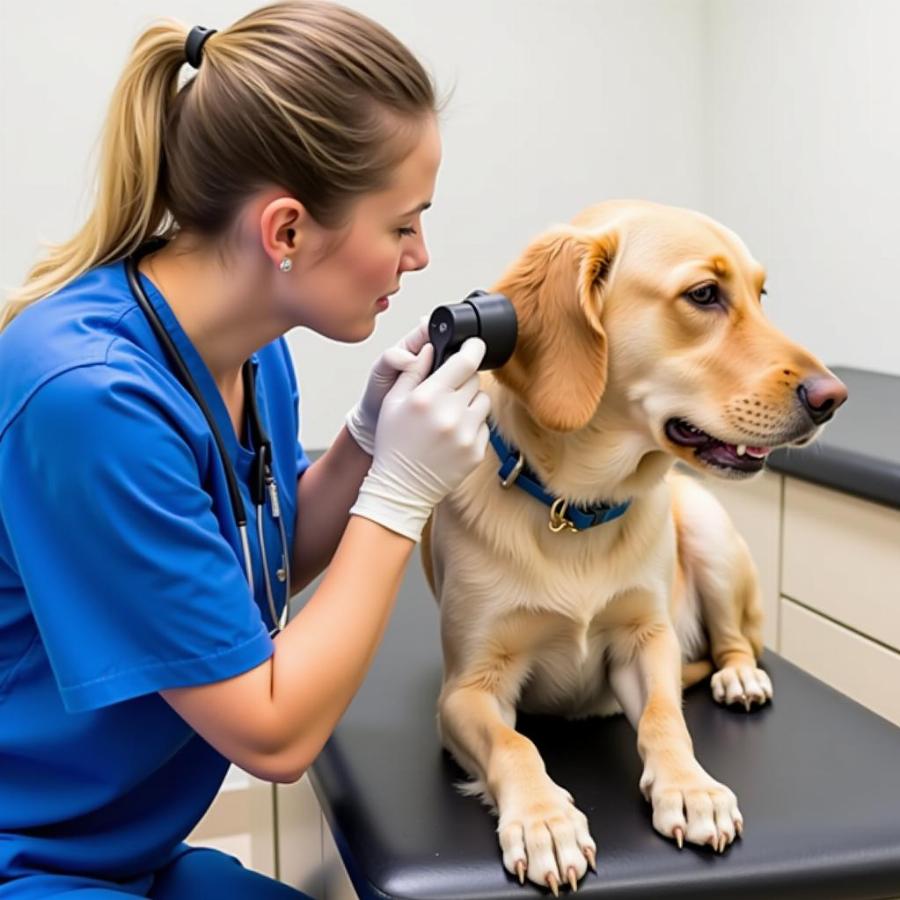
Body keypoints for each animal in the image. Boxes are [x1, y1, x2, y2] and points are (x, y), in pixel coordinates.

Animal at [418, 200, 848, 896]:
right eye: (704, 295)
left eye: (761, 295)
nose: (833, 399)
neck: (576, 511)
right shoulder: (467, 690)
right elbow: (515, 745)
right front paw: (544, 821)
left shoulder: (648, 642)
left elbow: (664, 719)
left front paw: (692, 788)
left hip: (705, 524)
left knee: (736, 640)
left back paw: (738, 677)